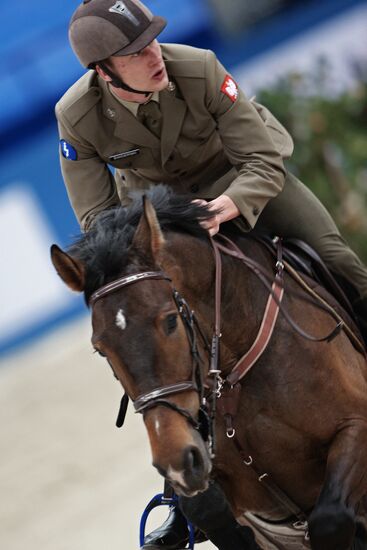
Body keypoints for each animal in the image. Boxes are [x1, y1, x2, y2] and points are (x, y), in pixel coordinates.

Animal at [51, 188, 367, 548]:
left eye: (170, 321)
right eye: (100, 349)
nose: (175, 463)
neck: (232, 370)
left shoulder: (355, 426)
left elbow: (330, 518)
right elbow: (207, 508)